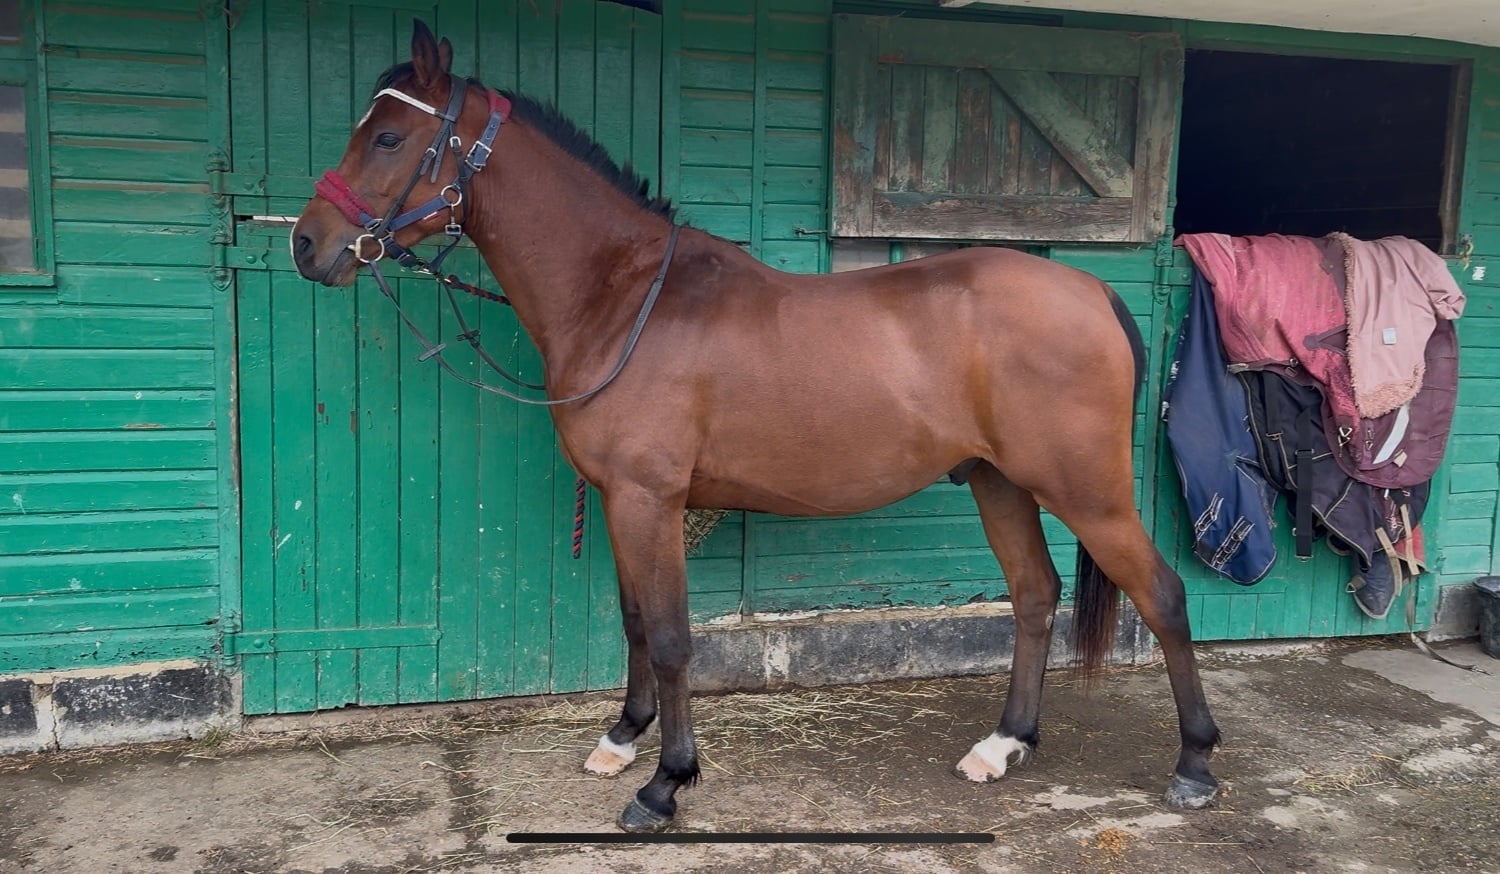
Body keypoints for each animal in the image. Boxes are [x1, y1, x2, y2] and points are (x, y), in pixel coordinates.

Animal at [291, 20, 1221, 833]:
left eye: (386, 139)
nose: (307, 244)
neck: (625, 297)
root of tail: (1091, 292)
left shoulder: (650, 500)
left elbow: (672, 639)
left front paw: (665, 785)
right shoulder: (623, 500)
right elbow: (635, 622)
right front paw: (621, 740)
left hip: (1087, 491)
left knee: (1164, 594)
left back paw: (1195, 764)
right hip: (998, 481)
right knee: (1034, 594)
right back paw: (1004, 744)